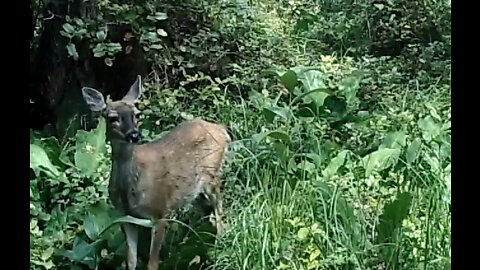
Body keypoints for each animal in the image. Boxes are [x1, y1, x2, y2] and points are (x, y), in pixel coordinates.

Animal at [80, 75, 231, 270]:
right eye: (113, 118)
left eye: (137, 114)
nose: (134, 135)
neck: (130, 189)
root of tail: (221, 130)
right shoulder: (125, 217)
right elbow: (131, 261)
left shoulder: (159, 212)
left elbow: (152, 263)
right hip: (193, 191)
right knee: (207, 210)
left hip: (211, 174)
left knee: (219, 207)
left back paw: (220, 243)